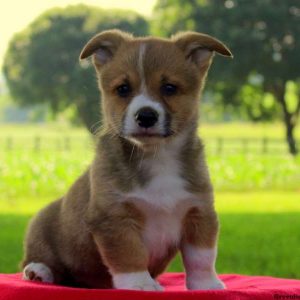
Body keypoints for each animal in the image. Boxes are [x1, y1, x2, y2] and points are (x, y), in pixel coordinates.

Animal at [22, 29, 232, 290]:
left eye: (169, 87)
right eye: (123, 88)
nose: (146, 116)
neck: (157, 156)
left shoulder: (199, 212)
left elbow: (202, 257)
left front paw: (206, 285)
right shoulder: (114, 217)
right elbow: (129, 254)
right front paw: (140, 284)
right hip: (41, 224)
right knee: (41, 260)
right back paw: (38, 271)